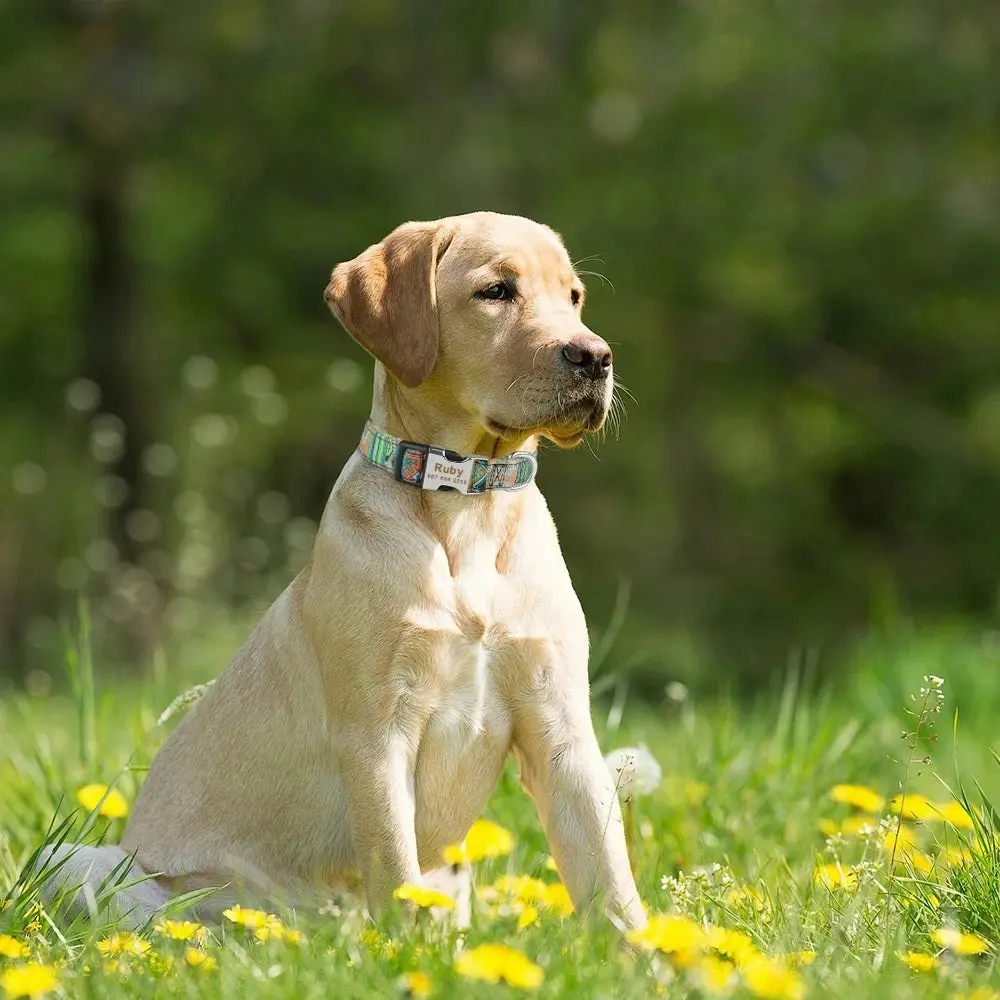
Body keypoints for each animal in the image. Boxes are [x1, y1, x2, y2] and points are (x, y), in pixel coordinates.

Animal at [35, 213, 644, 936]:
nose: (596, 357)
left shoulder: (561, 728)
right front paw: (408, 952)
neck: (469, 505)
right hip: (78, 860)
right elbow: (396, 867)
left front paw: (652, 954)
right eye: (496, 291)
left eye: (574, 297)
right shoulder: (376, 733)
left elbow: (610, 876)